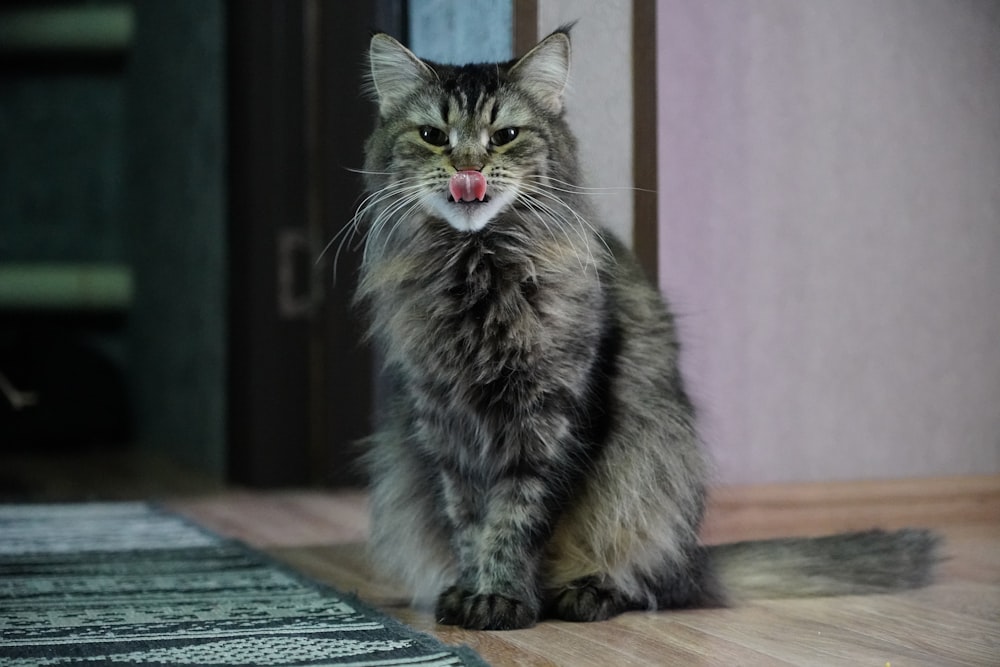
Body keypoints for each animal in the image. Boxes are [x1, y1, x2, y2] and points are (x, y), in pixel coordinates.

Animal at [356, 27, 940, 632]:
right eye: (432, 136)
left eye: (504, 136)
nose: (465, 169)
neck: (477, 273)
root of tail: (694, 558)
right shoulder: (445, 429)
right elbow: (469, 525)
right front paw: (473, 591)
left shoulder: (552, 422)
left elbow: (514, 522)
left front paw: (501, 599)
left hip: (655, 466)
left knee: (647, 582)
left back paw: (587, 593)